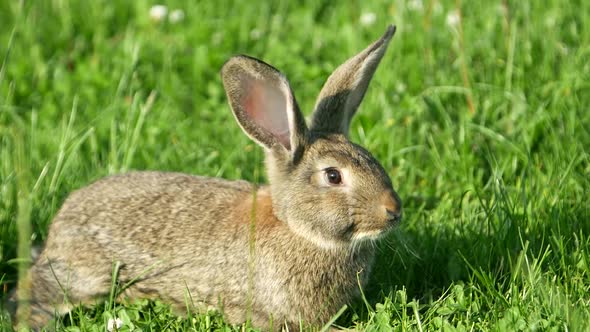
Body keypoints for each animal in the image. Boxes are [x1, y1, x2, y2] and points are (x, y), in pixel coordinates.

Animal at [15, 24, 402, 330]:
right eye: (333, 176)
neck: (297, 228)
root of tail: (59, 226)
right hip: (83, 277)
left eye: (372, 160)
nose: (393, 211)